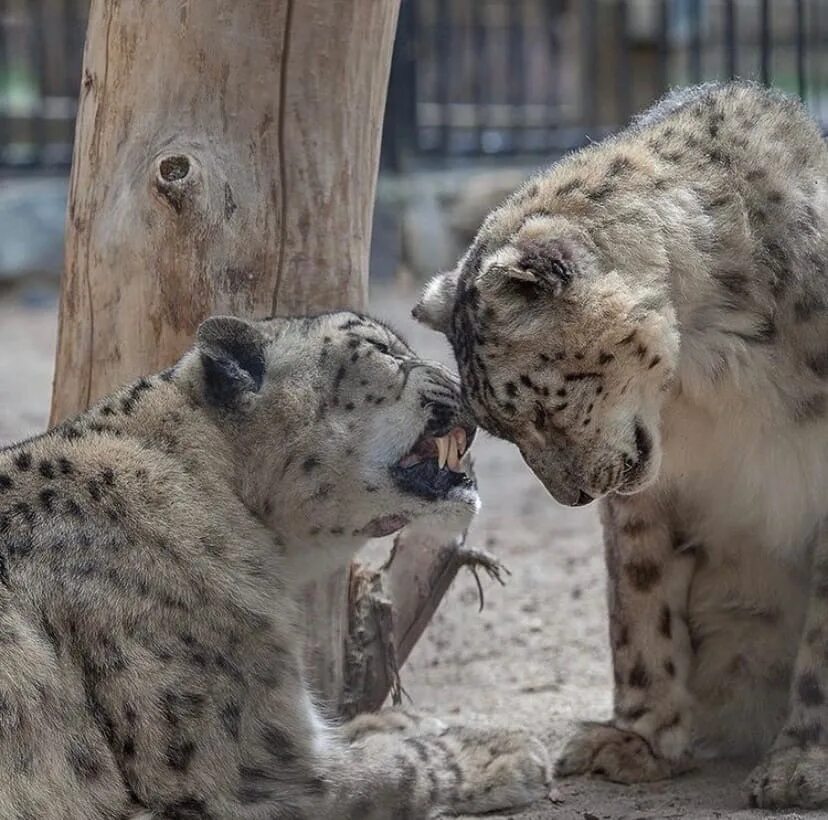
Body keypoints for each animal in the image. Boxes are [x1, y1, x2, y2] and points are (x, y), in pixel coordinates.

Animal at [0, 312, 548, 820]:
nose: (463, 383)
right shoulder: (252, 777)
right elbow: (394, 770)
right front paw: (500, 750)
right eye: (381, 348)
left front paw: (394, 721)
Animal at [414, 80, 828, 812]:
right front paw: (638, 739)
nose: (574, 497)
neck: (718, 368)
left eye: (541, 407)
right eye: (503, 428)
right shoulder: (647, 502)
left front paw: (801, 762)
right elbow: (637, 602)